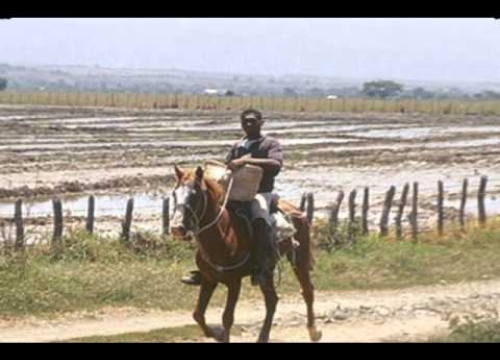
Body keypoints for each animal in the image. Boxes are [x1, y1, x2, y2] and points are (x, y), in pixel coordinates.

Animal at [170, 165, 322, 342]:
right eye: (174, 194)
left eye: (196, 195)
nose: (177, 228)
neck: (222, 235)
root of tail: (298, 211)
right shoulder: (209, 279)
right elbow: (198, 315)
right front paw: (217, 335)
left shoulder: (234, 282)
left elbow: (227, 318)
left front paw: (222, 335)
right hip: (267, 271)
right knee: (272, 300)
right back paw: (263, 337)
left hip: (299, 258)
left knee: (307, 291)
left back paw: (314, 332)